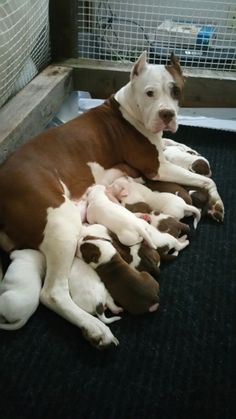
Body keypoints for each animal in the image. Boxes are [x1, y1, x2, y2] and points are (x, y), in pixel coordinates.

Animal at [0, 52, 224, 350]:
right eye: (150, 93)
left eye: (175, 90)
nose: (167, 114)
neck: (128, 110)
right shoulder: (157, 169)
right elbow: (207, 181)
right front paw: (216, 202)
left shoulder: (159, 152)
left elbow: (171, 145)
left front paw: (185, 149)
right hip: (62, 224)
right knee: (52, 293)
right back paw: (95, 328)